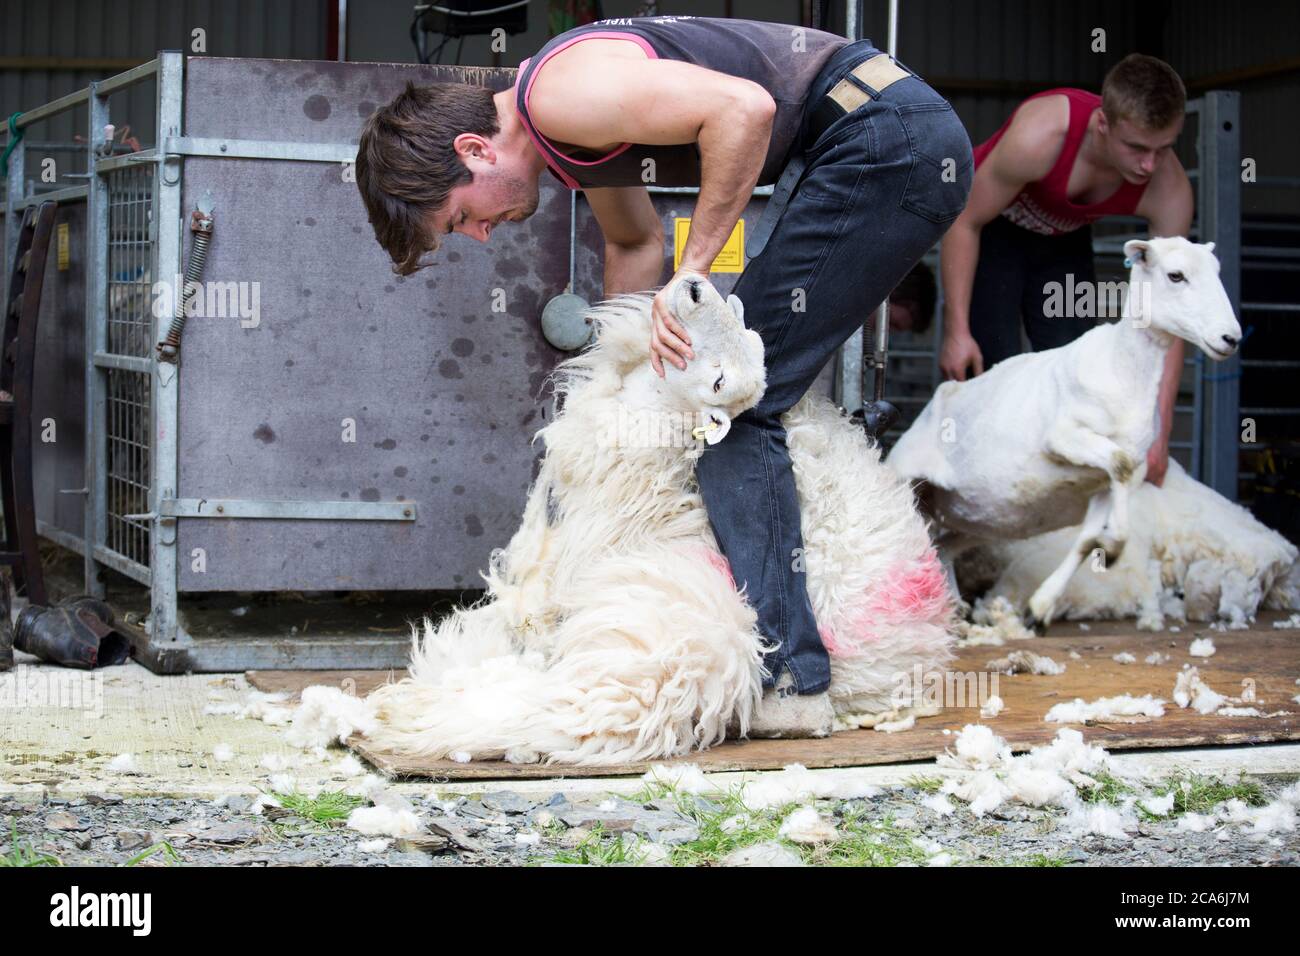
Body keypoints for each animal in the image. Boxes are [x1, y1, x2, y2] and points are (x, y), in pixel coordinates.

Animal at [351, 274, 961, 764]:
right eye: (743, 325)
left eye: (720, 383)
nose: (694, 286)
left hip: (663, 636)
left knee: (549, 708)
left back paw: (403, 715)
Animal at [889, 238, 1242, 629]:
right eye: (1175, 275)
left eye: (1217, 271)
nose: (1231, 338)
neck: (1123, 371)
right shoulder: (1063, 437)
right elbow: (1117, 464)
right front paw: (1114, 550)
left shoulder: (1106, 483)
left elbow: (1088, 538)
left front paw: (1040, 606)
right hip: (908, 477)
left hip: (980, 520)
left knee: (942, 544)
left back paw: (955, 608)